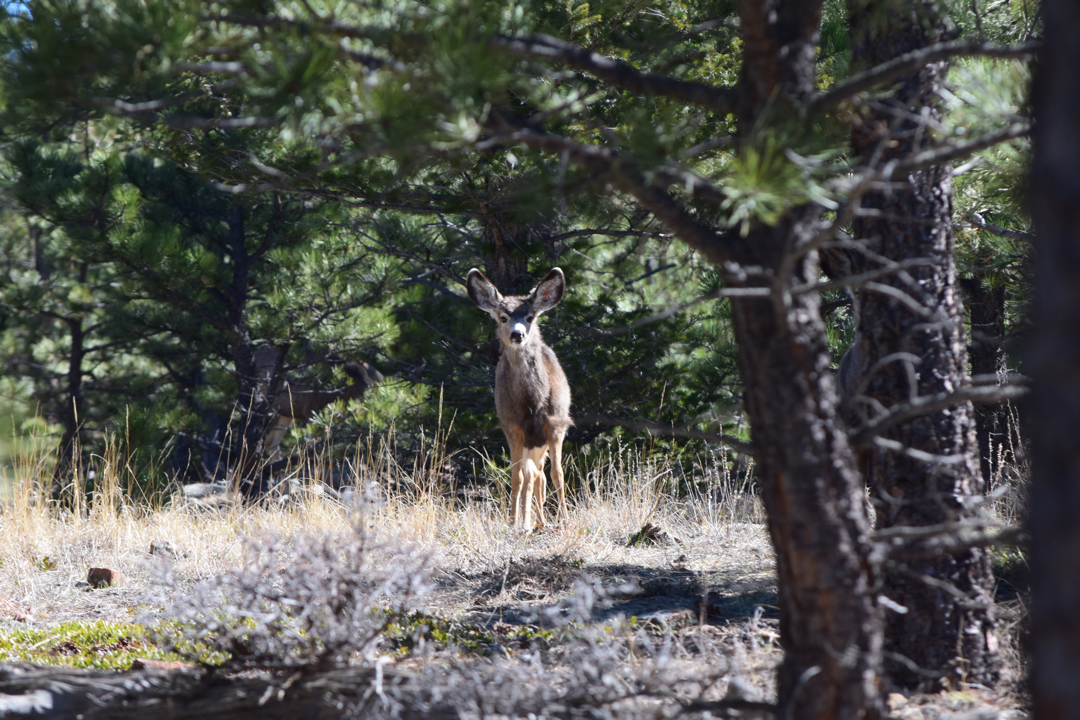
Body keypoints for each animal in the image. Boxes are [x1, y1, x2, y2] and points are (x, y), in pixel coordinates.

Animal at [466, 267, 574, 526]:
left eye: (530, 317)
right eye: (503, 317)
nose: (517, 334)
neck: (533, 404)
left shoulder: (556, 423)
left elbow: (558, 474)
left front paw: (566, 520)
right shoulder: (512, 425)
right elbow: (517, 476)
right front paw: (515, 522)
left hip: (540, 442)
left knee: (540, 475)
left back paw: (541, 521)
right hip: (528, 441)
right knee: (530, 475)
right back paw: (528, 521)